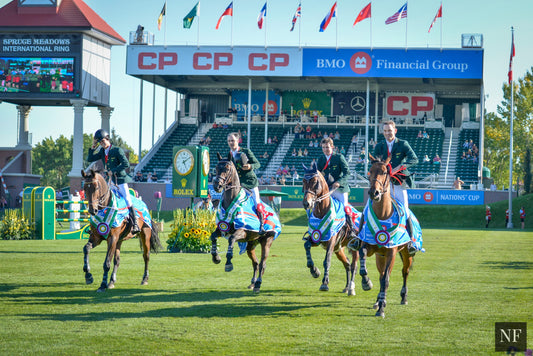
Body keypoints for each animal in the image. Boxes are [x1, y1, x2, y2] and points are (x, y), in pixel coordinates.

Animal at [80, 164, 161, 292]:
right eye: (84, 189)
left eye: (96, 188)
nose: (92, 210)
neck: (104, 208)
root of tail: (145, 206)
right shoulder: (97, 237)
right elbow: (86, 249)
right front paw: (88, 275)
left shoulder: (112, 238)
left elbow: (106, 263)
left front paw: (102, 285)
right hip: (119, 240)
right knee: (117, 260)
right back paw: (112, 281)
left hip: (145, 235)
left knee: (146, 256)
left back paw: (144, 279)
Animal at [209, 153, 280, 292]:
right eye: (216, 167)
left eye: (227, 168)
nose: (217, 186)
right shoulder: (222, 228)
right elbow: (213, 236)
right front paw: (216, 258)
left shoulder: (242, 231)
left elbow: (231, 240)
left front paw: (228, 263)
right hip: (250, 245)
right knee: (256, 263)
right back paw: (253, 283)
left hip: (267, 241)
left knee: (262, 263)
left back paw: (258, 284)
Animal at [300, 162, 362, 294]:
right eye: (303, 181)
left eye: (315, 182)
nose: (306, 203)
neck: (321, 212)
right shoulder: (317, 238)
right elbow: (306, 246)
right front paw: (314, 271)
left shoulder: (331, 240)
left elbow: (327, 260)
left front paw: (324, 283)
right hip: (339, 249)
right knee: (347, 263)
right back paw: (346, 287)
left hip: (354, 246)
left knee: (354, 265)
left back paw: (352, 288)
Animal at [354, 153, 424, 318]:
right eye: (370, 172)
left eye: (385, 172)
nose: (374, 193)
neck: (383, 215)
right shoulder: (368, 246)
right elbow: (364, 262)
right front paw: (366, 283)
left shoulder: (392, 251)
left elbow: (386, 280)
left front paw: (381, 309)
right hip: (381, 256)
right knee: (381, 275)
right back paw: (378, 300)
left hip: (406, 254)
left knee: (404, 273)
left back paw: (402, 298)